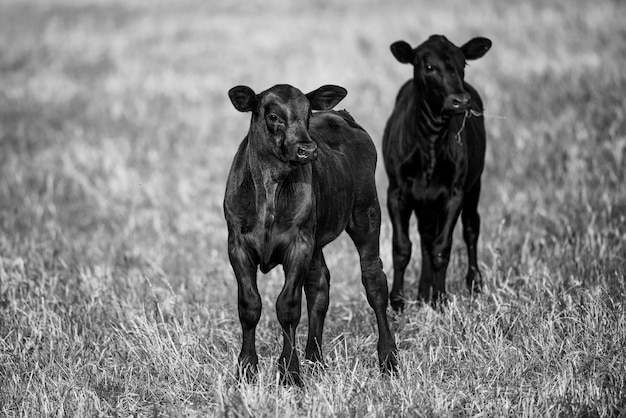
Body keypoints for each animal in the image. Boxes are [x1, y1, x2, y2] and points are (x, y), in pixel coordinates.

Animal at [224, 84, 398, 386]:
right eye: (273, 116)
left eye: (307, 114)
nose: (307, 150)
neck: (270, 188)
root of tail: (342, 115)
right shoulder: (237, 245)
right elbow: (249, 305)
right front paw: (246, 368)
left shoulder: (299, 245)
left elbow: (288, 307)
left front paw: (289, 372)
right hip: (317, 240)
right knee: (319, 285)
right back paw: (315, 359)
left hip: (366, 212)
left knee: (374, 280)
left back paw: (388, 359)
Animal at [380, 35, 492, 310]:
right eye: (428, 66)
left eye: (463, 64)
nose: (460, 100)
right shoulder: (396, 191)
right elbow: (401, 247)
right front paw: (397, 300)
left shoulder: (455, 193)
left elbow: (442, 247)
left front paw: (440, 298)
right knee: (425, 237)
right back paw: (422, 293)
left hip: (474, 184)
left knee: (471, 228)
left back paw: (474, 282)